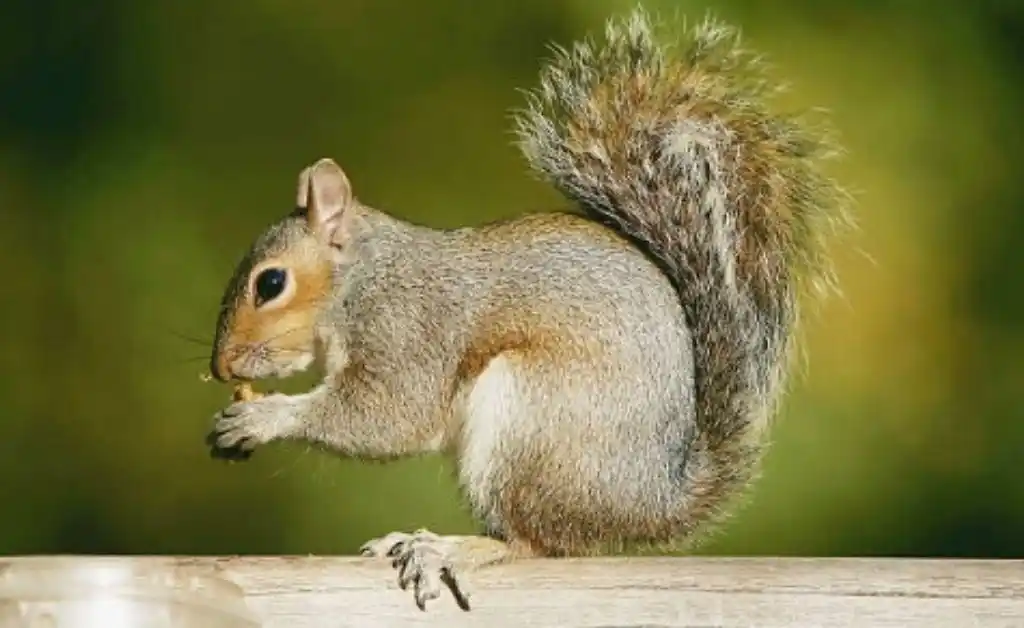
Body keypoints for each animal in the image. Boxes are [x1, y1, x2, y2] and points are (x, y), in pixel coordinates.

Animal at [205, 8, 848, 612]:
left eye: (271, 283)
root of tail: (653, 503)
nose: (220, 367)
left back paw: (450, 548)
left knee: (534, 542)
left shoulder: (407, 330)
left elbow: (389, 416)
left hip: (529, 419)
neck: (361, 281)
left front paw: (265, 417)